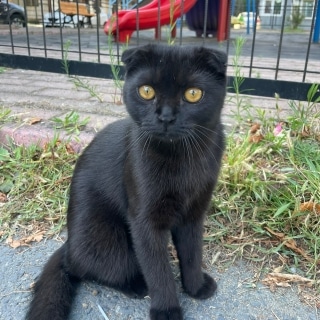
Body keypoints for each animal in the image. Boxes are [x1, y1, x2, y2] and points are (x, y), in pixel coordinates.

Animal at [25, 43, 228, 318]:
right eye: (146, 91)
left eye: (193, 94)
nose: (165, 117)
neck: (182, 159)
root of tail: (68, 246)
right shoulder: (143, 221)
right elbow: (158, 269)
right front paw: (167, 310)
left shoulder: (194, 213)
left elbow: (192, 253)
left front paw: (195, 287)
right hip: (111, 241)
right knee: (96, 268)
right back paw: (136, 284)